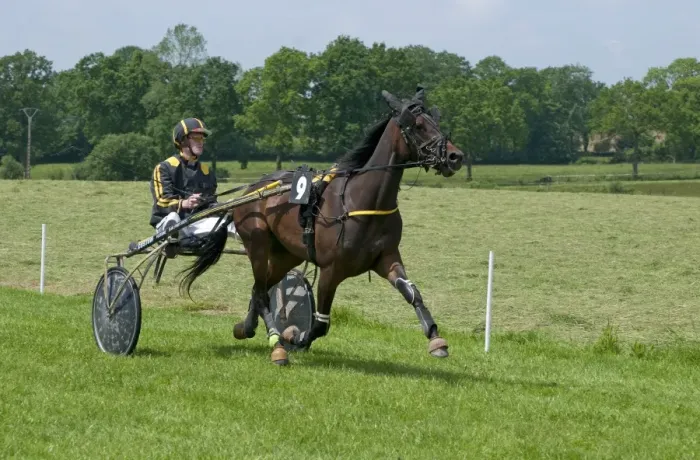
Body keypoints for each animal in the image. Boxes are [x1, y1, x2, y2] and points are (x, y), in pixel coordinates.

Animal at [180, 85, 465, 365]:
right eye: (418, 125)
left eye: (436, 120)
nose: (455, 156)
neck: (361, 200)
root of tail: (253, 189)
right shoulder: (331, 270)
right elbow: (320, 324)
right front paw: (295, 338)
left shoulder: (387, 258)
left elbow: (412, 293)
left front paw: (436, 339)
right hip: (257, 245)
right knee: (261, 292)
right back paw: (277, 346)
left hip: (287, 254)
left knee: (261, 288)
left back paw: (246, 328)